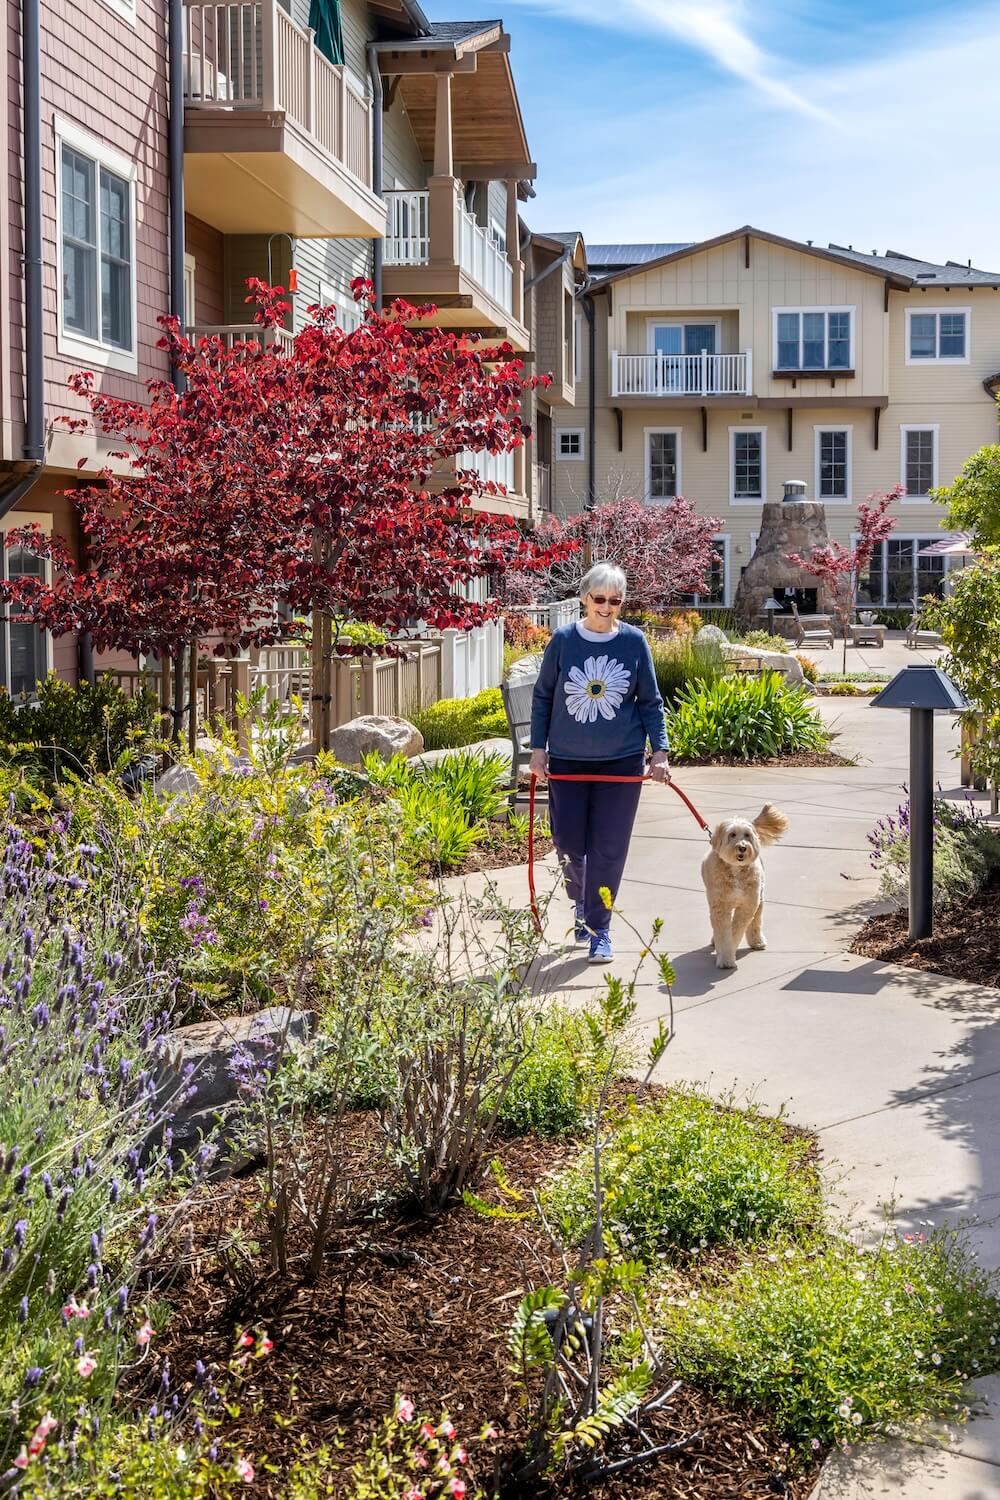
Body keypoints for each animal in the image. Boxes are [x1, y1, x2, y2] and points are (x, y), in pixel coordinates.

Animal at [704, 810, 791, 972]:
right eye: (732, 834)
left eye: (746, 835)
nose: (743, 847)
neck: (736, 869)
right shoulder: (720, 907)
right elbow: (723, 933)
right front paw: (725, 958)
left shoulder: (747, 906)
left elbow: (735, 932)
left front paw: (728, 954)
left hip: (759, 899)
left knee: (756, 921)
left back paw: (757, 941)